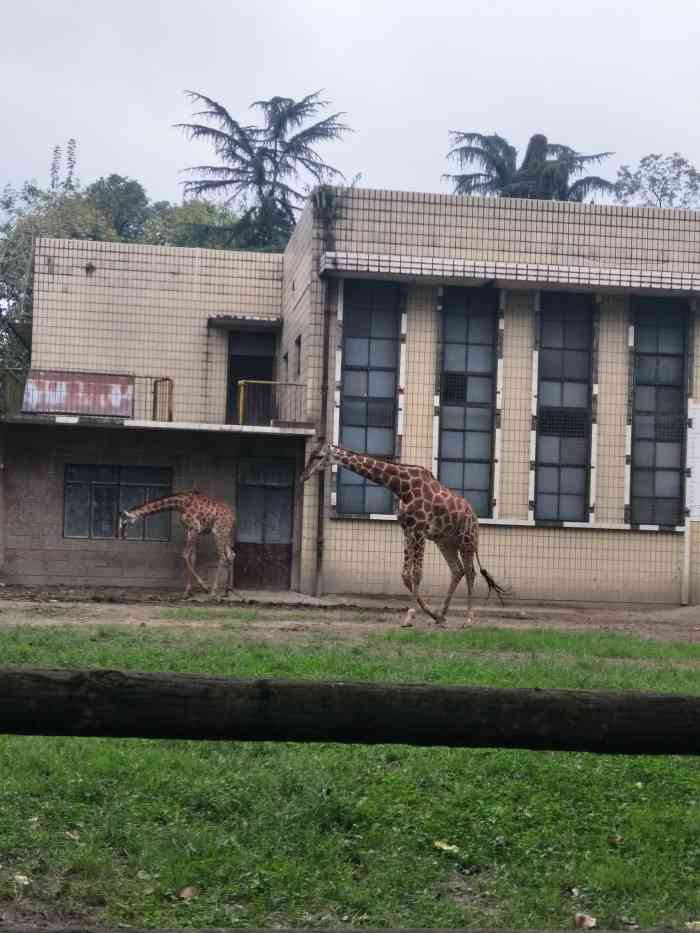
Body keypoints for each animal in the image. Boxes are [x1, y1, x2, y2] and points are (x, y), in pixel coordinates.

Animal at [298, 438, 506, 628]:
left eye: (319, 456)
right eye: (310, 454)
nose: (302, 477)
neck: (402, 488)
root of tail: (474, 517)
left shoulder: (420, 530)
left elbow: (417, 574)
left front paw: (410, 616)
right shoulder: (407, 531)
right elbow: (405, 575)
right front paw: (431, 614)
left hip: (467, 540)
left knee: (470, 573)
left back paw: (469, 619)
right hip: (445, 541)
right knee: (457, 570)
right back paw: (441, 615)